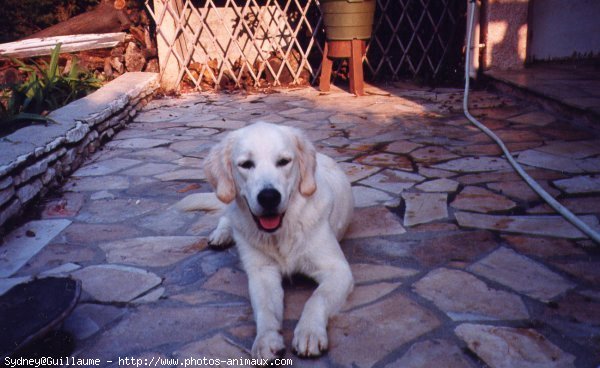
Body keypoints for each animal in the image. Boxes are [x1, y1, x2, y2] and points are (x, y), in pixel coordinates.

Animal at [180, 123, 354, 360]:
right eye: (246, 164)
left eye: (284, 161)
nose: (269, 197)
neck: (281, 233)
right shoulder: (262, 272)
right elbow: (265, 309)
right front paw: (266, 340)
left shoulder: (338, 270)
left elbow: (317, 298)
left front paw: (309, 332)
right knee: (227, 216)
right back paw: (221, 235)